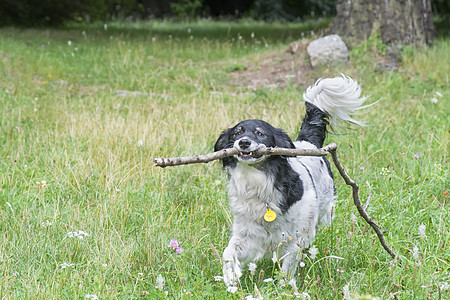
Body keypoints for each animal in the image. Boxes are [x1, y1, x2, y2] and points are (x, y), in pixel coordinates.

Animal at [216, 74, 370, 290]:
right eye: (237, 133)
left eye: (260, 133)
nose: (243, 142)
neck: (258, 183)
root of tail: (307, 143)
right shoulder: (247, 234)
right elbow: (228, 253)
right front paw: (231, 278)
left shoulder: (294, 238)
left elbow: (288, 267)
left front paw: (284, 288)